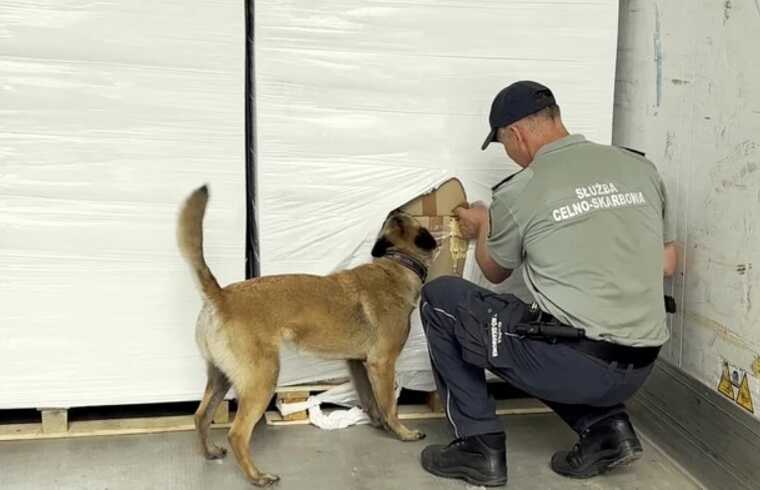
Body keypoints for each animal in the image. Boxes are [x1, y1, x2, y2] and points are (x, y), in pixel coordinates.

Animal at [177, 185, 436, 486]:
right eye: (404, 218)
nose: (396, 208)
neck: (396, 263)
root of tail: (221, 296)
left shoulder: (358, 363)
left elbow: (371, 400)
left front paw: (379, 423)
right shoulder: (382, 364)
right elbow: (390, 404)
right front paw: (402, 432)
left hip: (220, 377)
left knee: (200, 416)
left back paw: (210, 451)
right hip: (262, 379)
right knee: (237, 434)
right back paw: (257, 476)